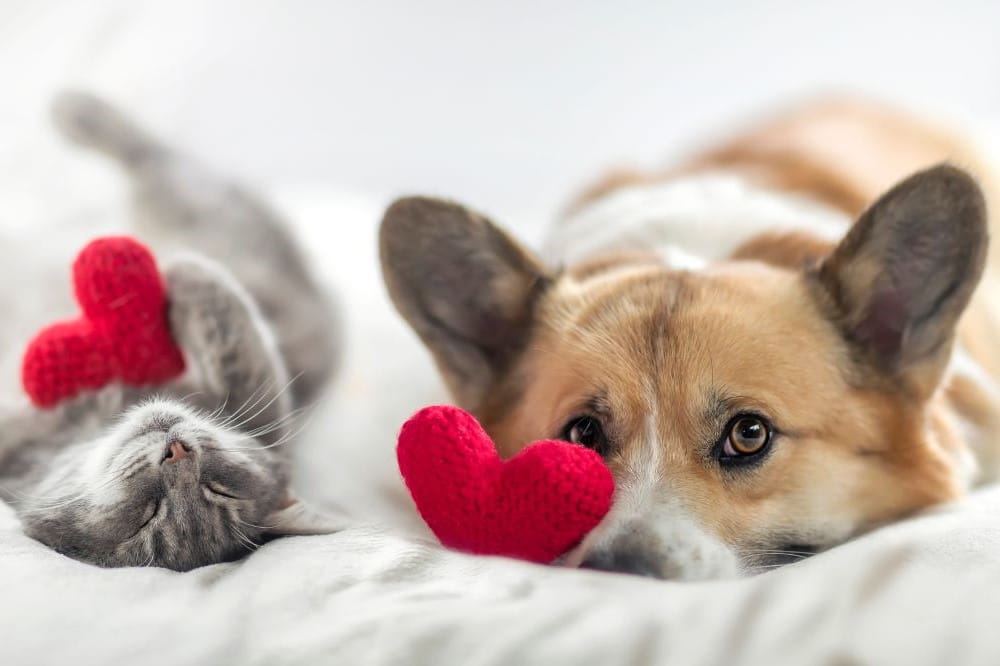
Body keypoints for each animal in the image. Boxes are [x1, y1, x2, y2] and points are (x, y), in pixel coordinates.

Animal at [0, 93, 340, 568]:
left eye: (217, 492)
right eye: (147, 517)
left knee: (155, 161)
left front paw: (182, 270)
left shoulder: (265, 406)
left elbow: (235, 336)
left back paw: (78, 111)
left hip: (193, 204)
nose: (176, 452)